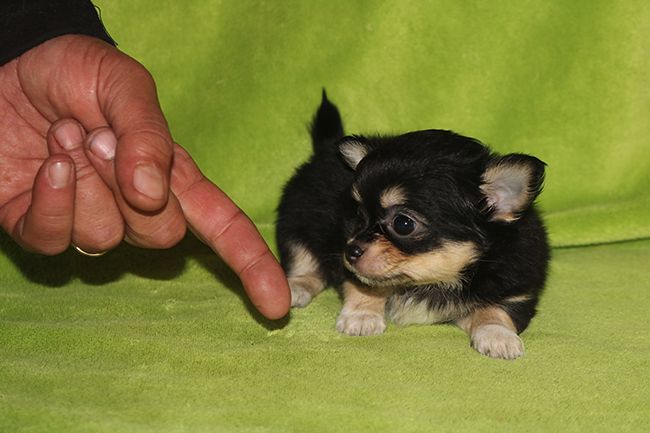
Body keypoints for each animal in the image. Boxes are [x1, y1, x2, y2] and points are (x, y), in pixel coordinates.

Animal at [276, 91, 549, 359]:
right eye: (359, 215)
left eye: (403, 224)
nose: (350, 251)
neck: (430, 282)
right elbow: (364, 284)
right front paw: (362, 315)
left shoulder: (516, 290)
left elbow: (495, 310)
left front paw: (497, 335)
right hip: (296, 220)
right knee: (304, 261)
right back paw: (296, 287)